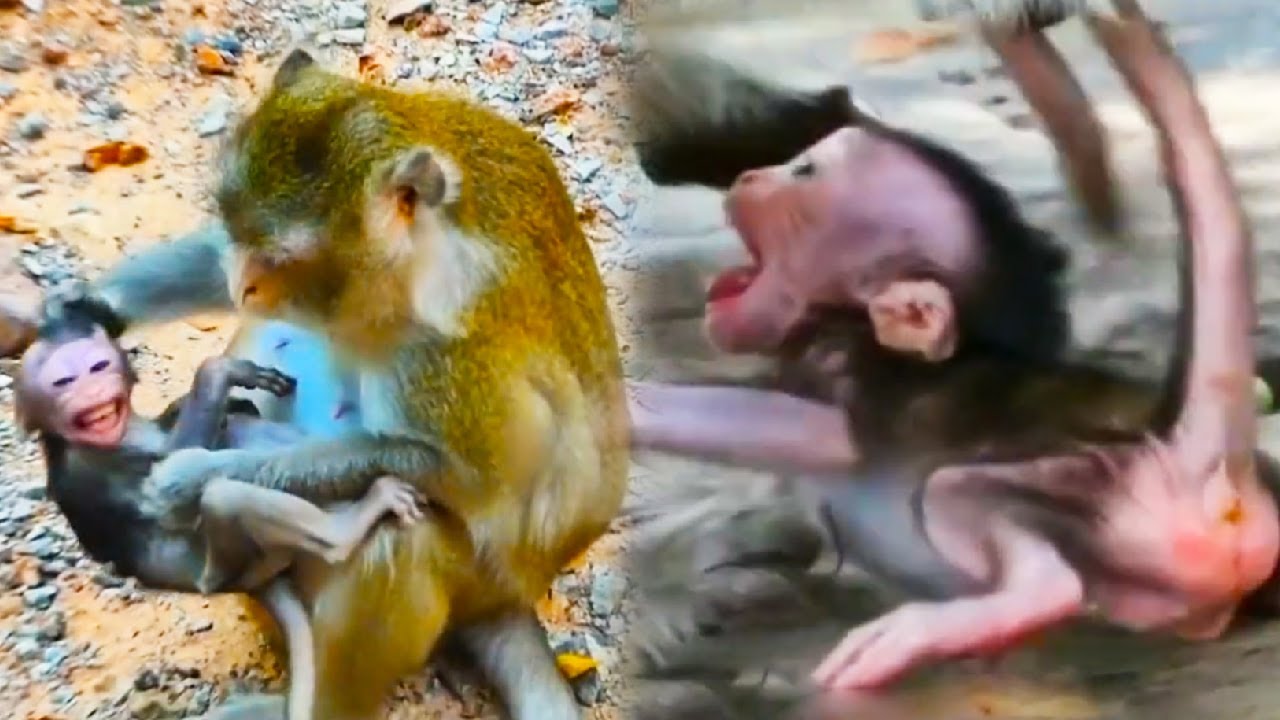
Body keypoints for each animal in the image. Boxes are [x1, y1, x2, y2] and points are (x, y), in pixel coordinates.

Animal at [52, 48, 628, 720]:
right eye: (235, 226)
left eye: (282, 257)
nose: (246, 284)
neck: (415, 263)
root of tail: (516, 597)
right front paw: (76, 309)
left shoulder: (454, 360)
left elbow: (460, 476)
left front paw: (192, 476)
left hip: (478, 584)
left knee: (398, 541)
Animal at [620, 0, 1280, 709]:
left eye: (805, 173)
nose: (747, 175)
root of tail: (1201, 463)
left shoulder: (856, 381)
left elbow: (776, 425)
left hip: (1111, 487)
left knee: (962, 495)